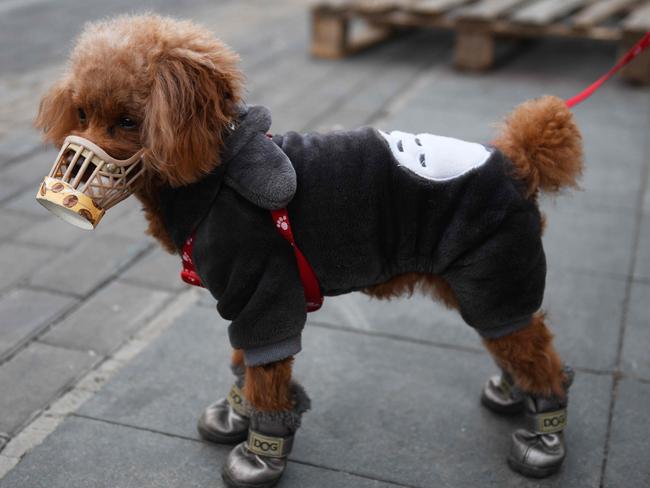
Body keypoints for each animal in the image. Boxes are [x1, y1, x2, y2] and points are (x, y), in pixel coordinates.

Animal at [34, 13, 584, 486]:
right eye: (81, 112)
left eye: (129, 121)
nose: (72, 165)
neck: (212, 173)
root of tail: (517, 162)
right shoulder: (244, 300)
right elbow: (247, 363)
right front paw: (237, 412)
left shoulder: (265, 292)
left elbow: (266, 372)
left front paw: (261, 454)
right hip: (481, 283)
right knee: (519, 342)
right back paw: (514, 392)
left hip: (495, 273)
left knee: (538, 356)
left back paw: (545, 436)